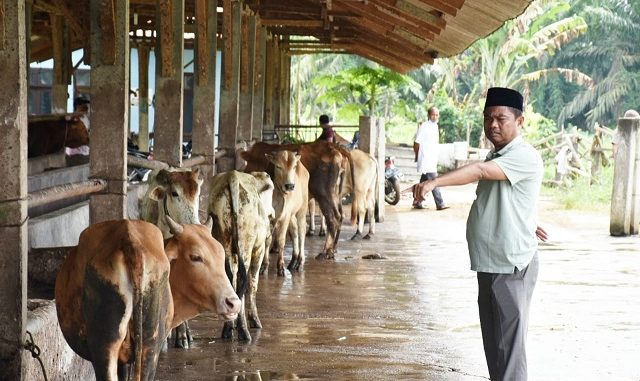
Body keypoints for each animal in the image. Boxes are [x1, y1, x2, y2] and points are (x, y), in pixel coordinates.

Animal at [54, 217, 240, 380]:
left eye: (221, 255)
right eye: (195, 257)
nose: (234, 303)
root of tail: (130, 241)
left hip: (111, 347)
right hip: (146, 346)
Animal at [208, 171, 272, 340]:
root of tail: (232, 175)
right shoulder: (259, 249)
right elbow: (253, 284)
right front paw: (254, 320)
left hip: (225, 243)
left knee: (231, 278)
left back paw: (228, 328)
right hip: (246, 244)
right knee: (244, 280)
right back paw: (243, 330)